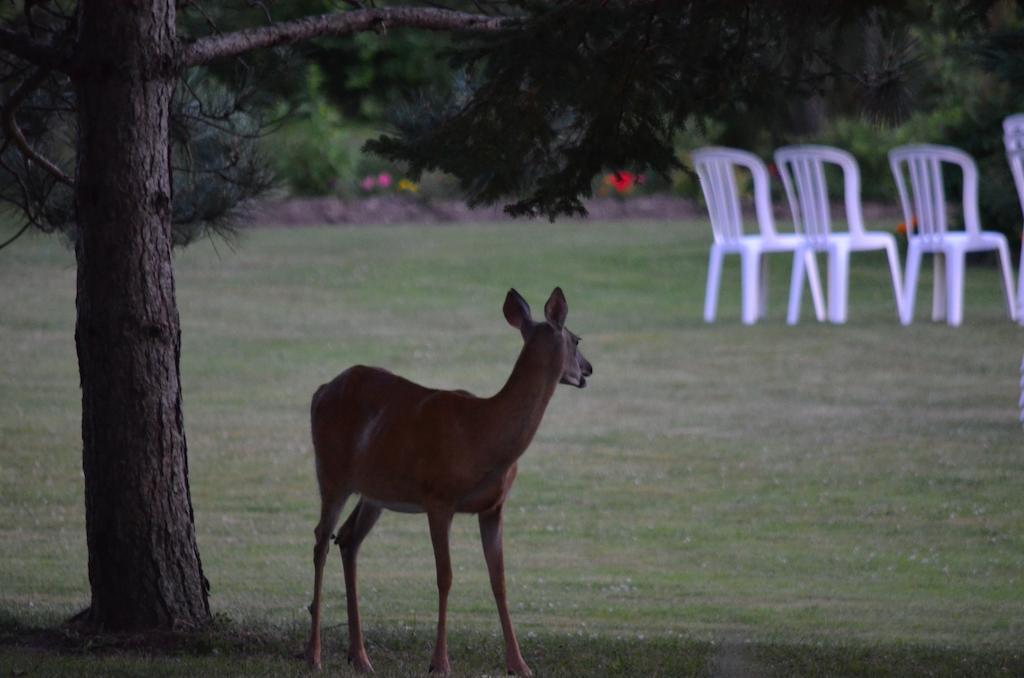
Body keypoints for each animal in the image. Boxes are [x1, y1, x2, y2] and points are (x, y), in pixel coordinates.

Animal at [303, 288, 593, 678]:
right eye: (577, 339)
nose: (588, 370)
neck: (485, 436)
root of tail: (319, 391)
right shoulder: (438, 498)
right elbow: (445, 576)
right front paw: (439, 662)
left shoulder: (493, 507)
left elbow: (499, 581)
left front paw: (519, 664)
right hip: (331, 471)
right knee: (321, 539)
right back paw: (314, 654)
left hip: (374, 492)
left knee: (347, 539)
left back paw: (360, 657)